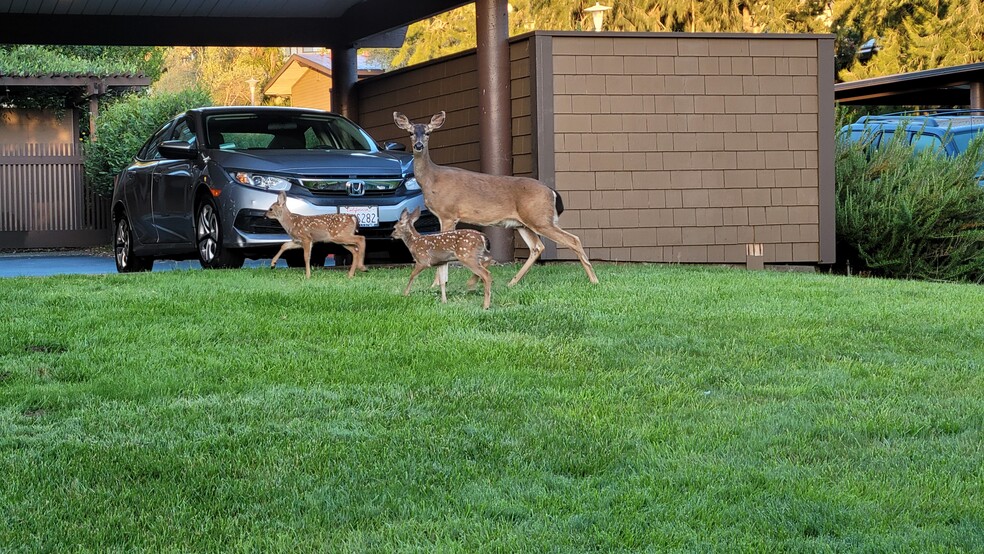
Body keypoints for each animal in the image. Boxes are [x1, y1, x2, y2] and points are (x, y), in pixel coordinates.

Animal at [394, 110, 600, 286]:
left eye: (428, 133)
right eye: (411, 132)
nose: (419, 145)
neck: (432, 179)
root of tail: (551, 191)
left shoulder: (448, 213)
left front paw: (436, 284)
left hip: (540, 218)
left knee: (573, 239)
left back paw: (594, 280)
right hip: (523, 223)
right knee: (537, 247)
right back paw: (512, 282)